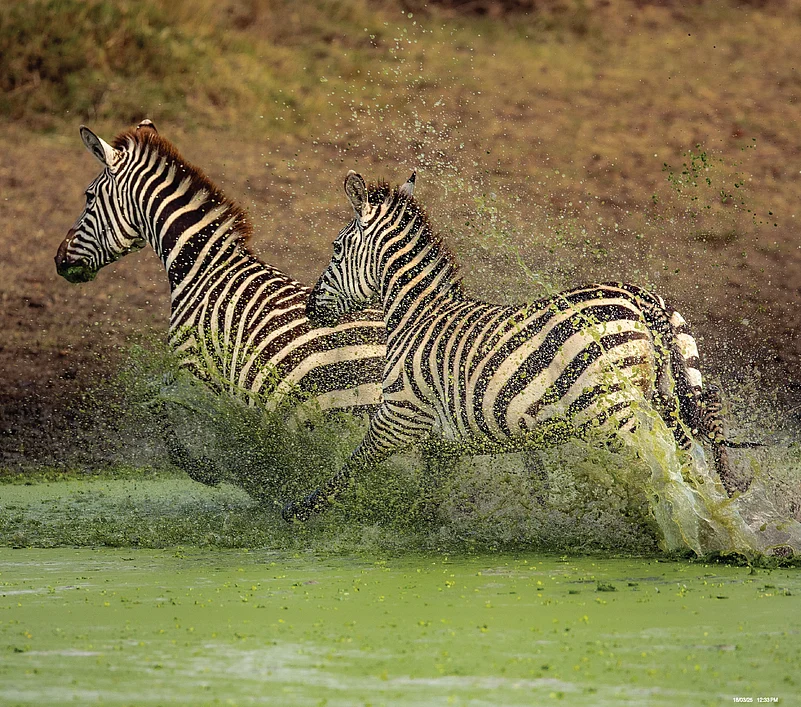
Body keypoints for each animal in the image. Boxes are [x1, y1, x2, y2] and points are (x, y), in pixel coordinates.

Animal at [55, 121, 386, 488]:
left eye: (88, 196)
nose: (59, 260)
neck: (202, 267)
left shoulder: (194, 369)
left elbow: (157, 401)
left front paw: (207, 469)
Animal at [283, 170, 754, 522]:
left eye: (336, 248)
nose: (310, 306)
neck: (415, 314)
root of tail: (641, 300)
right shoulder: (450, 439)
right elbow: (441, 491)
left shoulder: (400, 414)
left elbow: (350, 467)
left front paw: (297, 512)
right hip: (670, 393)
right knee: (695, 456)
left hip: (614, 415)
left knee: (667, 472)